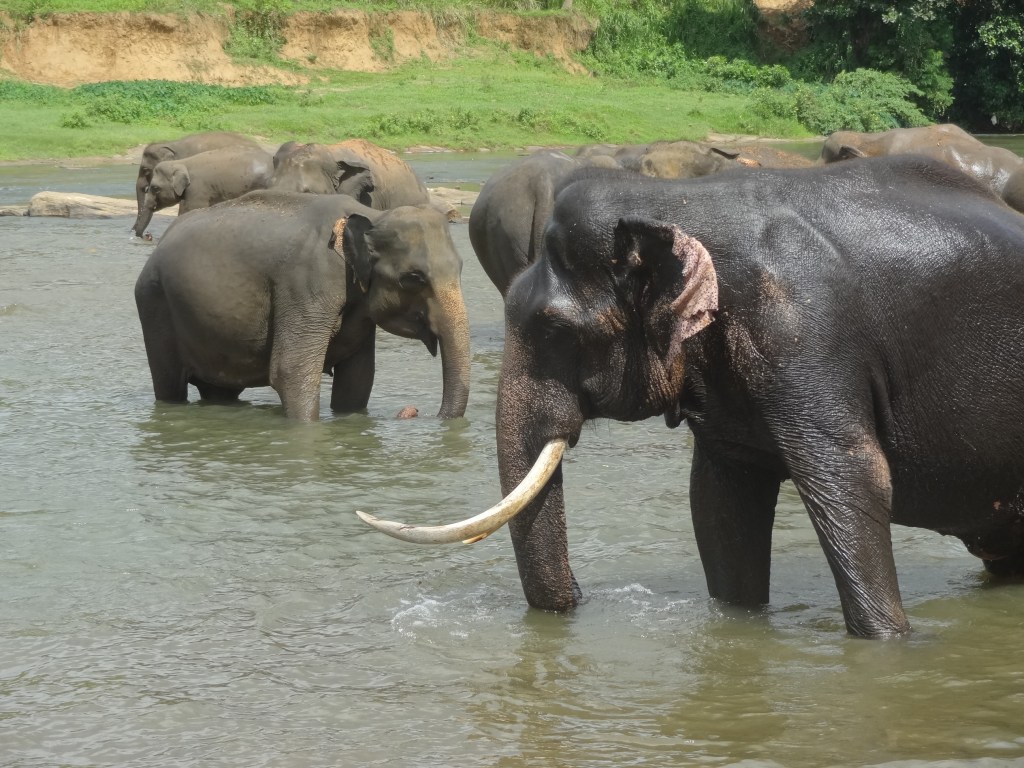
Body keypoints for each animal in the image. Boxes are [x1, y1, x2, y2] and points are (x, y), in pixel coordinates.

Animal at [134, 190, 470, 421]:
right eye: (414, 278)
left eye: (461, 268)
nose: (414, 413)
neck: (371, 214)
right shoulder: (307, 282)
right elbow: (291, 372)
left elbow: (358, 379)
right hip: (154, 304)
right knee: (169, 385)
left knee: (219, 390)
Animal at [359, 156, 1024, 638]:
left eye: (553, 330)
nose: (581, 596)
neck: (674, 202)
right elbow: (718, 501)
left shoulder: (808, 336)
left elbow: (854, 481)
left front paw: (887, 642)